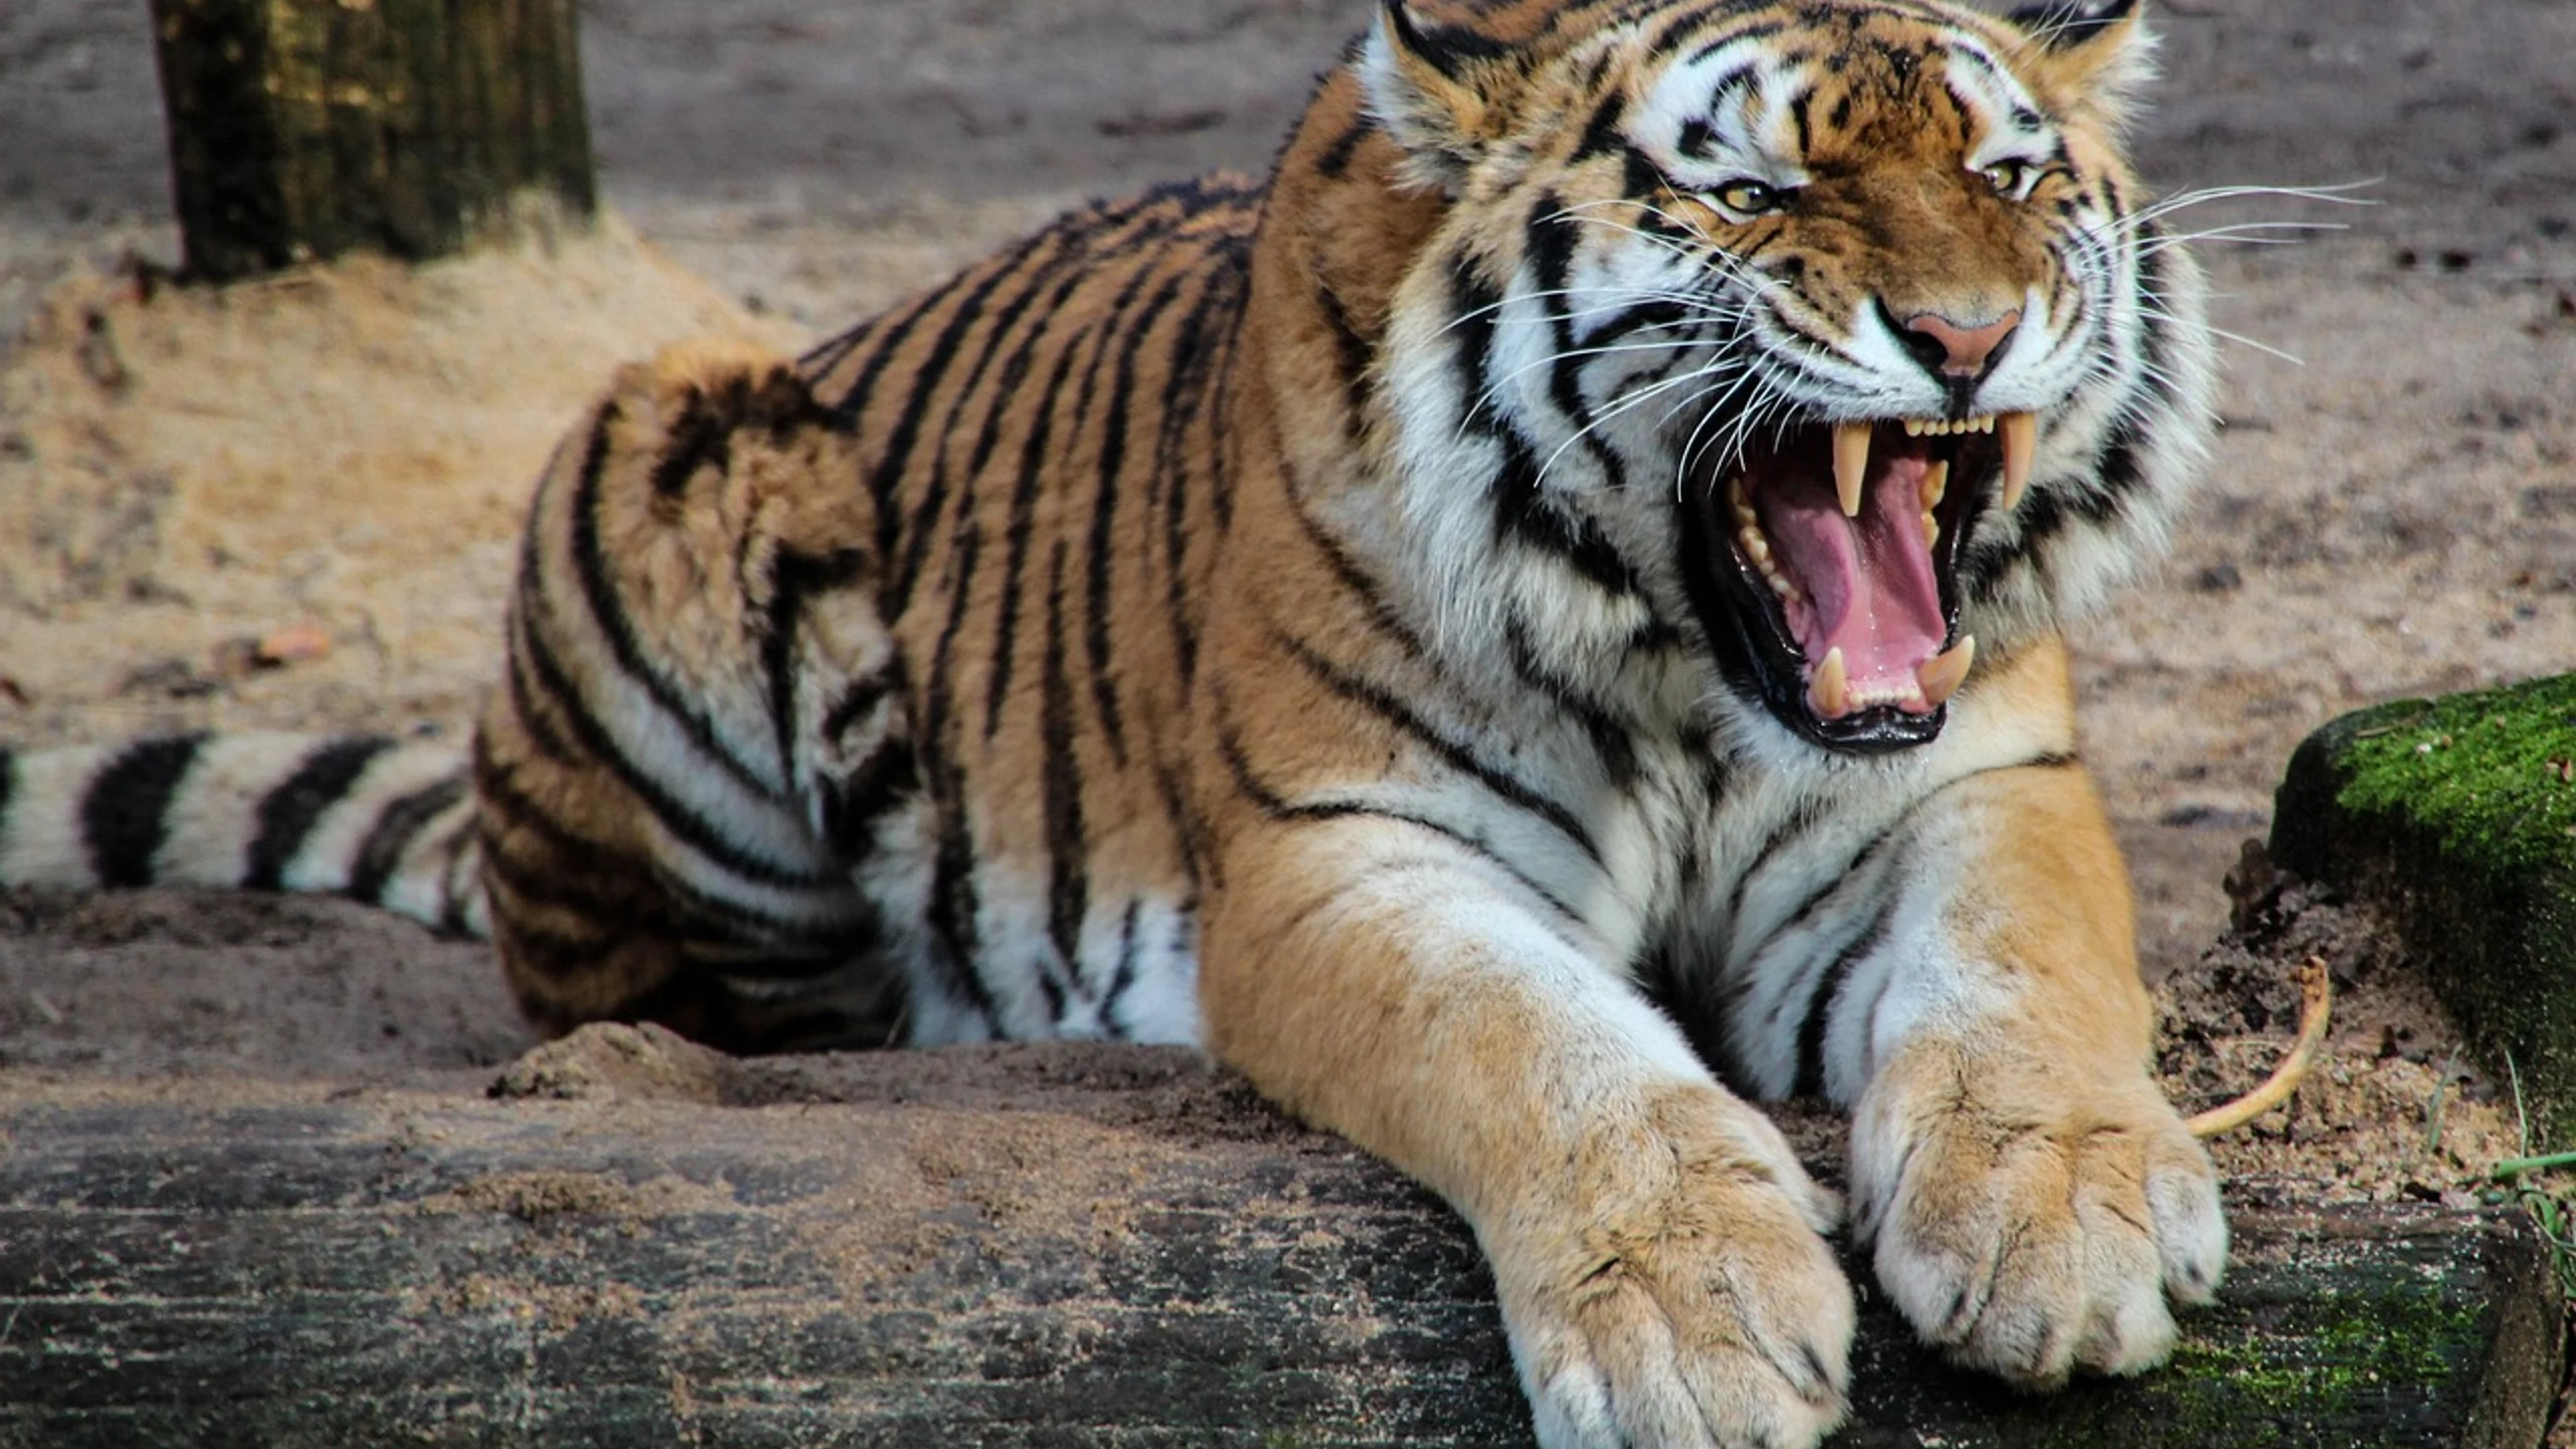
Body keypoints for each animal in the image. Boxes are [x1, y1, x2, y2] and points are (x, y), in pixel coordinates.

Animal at [1, 0, 2231, 1442]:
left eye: (2007, 173)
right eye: (1757, 190)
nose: (1965, 336)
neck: (1692, 670)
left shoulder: (1976, 785)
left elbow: (2023, 978)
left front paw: (2062, 1225)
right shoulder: (1340, 855)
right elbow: (1542, 1049)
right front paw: (1694, 1318)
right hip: (671, 435)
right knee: (678, 1001)